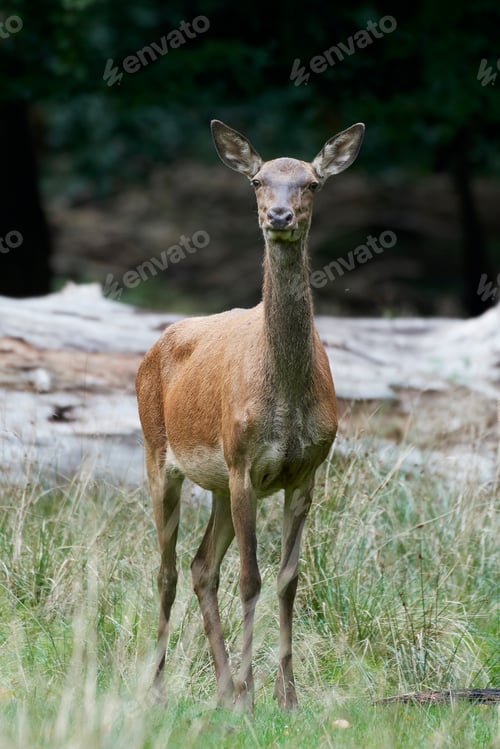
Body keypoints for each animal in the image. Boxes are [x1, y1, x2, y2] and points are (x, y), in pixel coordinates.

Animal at [136, 119, 365, 711]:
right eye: (258, 181)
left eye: (311, 183)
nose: (278, 216)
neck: (284, 397)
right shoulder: (244, 465)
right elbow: (251, 578)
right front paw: (251, 692)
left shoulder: (305, 471)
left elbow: (287, 579)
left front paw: (286, 695)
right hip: (158, 452)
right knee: (168, 570)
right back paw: (160, 689)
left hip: (217, 482)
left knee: (200, 567)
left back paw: (220, 690)